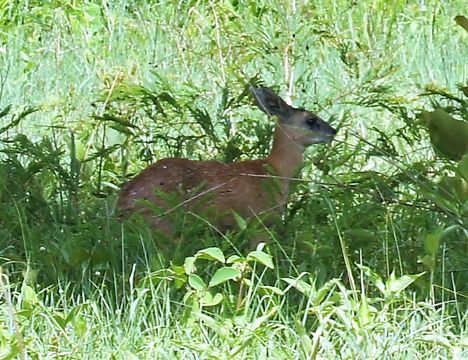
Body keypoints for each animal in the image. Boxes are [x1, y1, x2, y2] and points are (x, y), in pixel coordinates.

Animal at [117, 87, 336, 238]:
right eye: (311, 120)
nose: (333, 131)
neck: (275, 171)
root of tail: (122, 204)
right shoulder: (259, 220)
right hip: (160, 221)